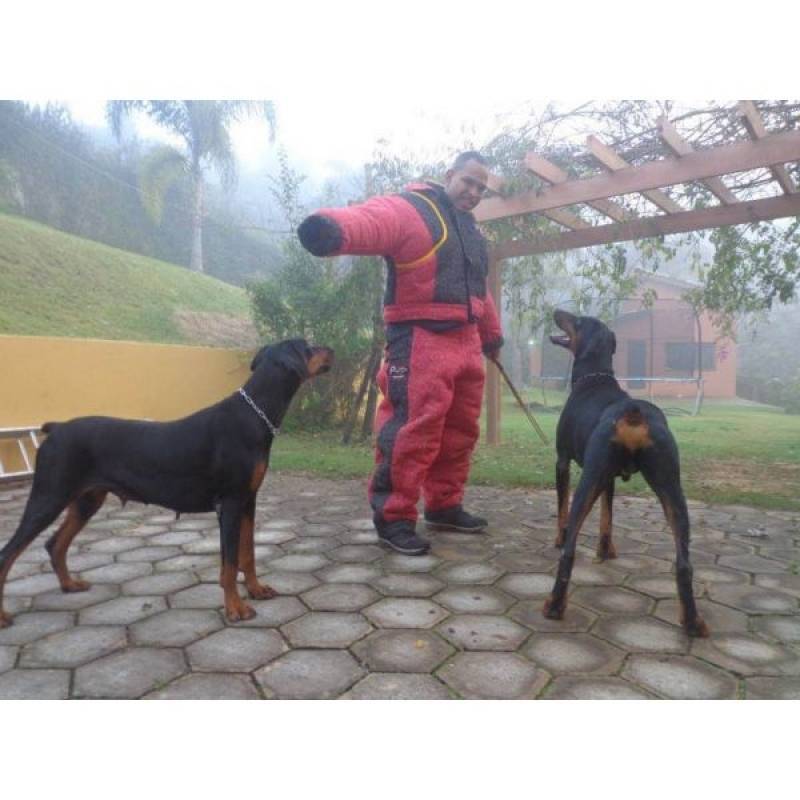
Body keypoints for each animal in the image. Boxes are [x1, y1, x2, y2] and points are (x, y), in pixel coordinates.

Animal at [0, 338, 332, 624]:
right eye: (307, 346)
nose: (331, 349)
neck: (255, 414)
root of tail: (55, 429)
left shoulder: (248, 500)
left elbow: (246, 553)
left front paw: (256, 589)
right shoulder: (230, 502)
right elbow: (229, 563)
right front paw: (235, 608)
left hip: (86, 499)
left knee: (55, 543)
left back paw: (69, 584)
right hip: (49, 496)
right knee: (9, 552)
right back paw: (4, 616)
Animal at [544, 310, 708, 636]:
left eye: (577, 320)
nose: (556, 311)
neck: (594, 377)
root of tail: (632, 413)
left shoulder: (564, 462)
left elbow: (562, 511)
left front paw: (560, 537)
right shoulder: (608, 476)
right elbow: (607, 515)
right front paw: (606, 550)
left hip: (588, 479)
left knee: (569, 551)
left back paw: (554, 606)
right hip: (671, 486)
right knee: (684, 563)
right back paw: (692, 621)